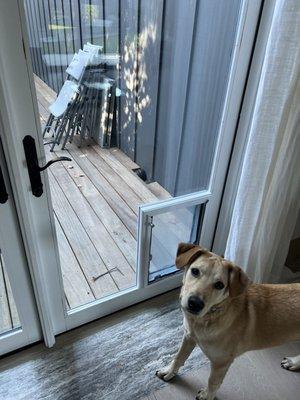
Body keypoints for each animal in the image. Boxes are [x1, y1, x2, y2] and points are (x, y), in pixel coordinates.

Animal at [156, 242, 298, 400]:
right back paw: (293, 362)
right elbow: (179, 357)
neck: (207, 318)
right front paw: (169, 372)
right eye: (195, 271)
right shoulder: (188, 337)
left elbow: (213, 382)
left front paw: (207, 395)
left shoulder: (222, 362)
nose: (195, 303)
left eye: (219, 285)